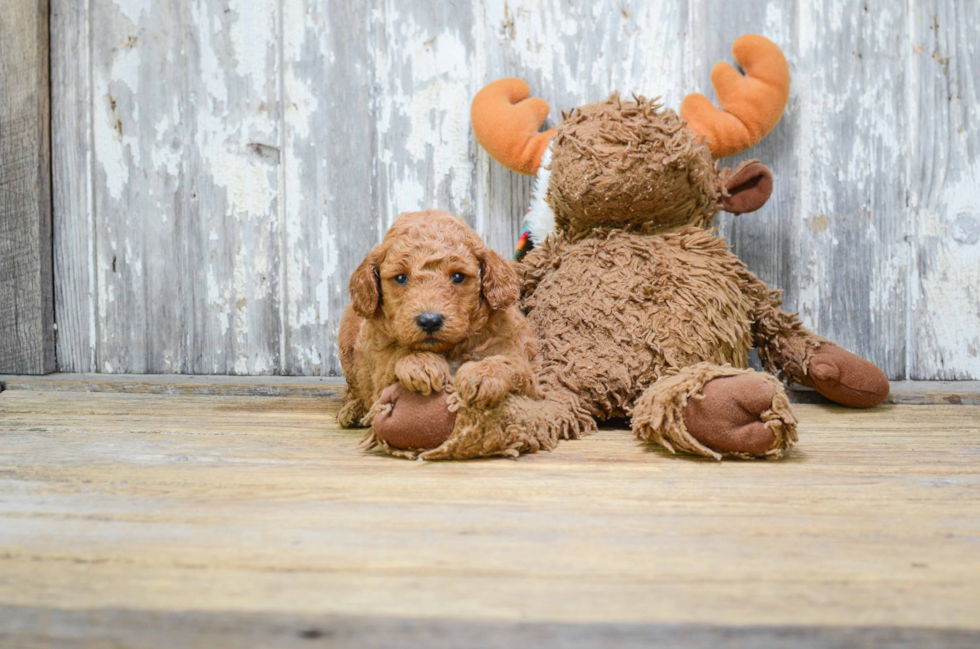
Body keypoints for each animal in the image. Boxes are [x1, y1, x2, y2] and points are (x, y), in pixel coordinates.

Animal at [338, 210, 540, 448]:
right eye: (401, 278)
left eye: (458, 276)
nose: (430, 321)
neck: (450, 348)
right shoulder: (380, 372)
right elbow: (398, 354)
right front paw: (421, 364)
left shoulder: (528, 373)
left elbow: (510, 362)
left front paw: (481, 376)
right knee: (354, 387)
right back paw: (352, 410)